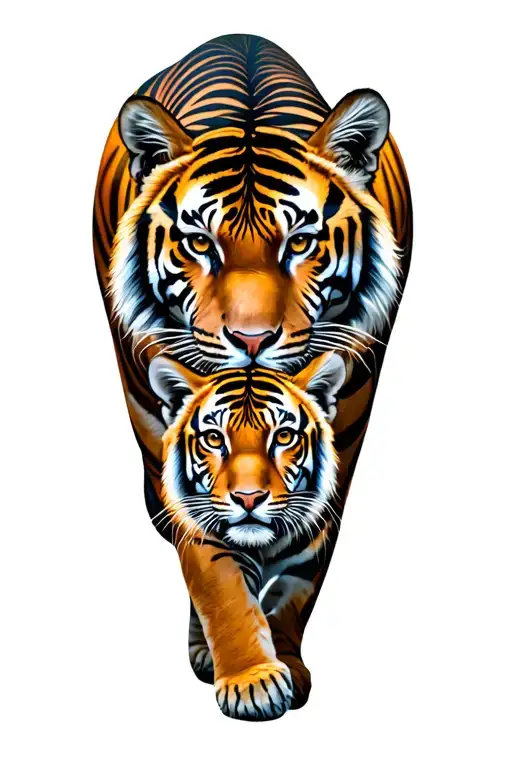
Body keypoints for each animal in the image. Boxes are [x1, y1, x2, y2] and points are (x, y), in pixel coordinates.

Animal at [148, 351, 345, 719]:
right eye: (214, 438)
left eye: (284, 437)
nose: (249, 497)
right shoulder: (208, 540)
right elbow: (230, 603)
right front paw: (253, 683)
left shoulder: (306, 555)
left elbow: (286, 608)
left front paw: (290, 669)